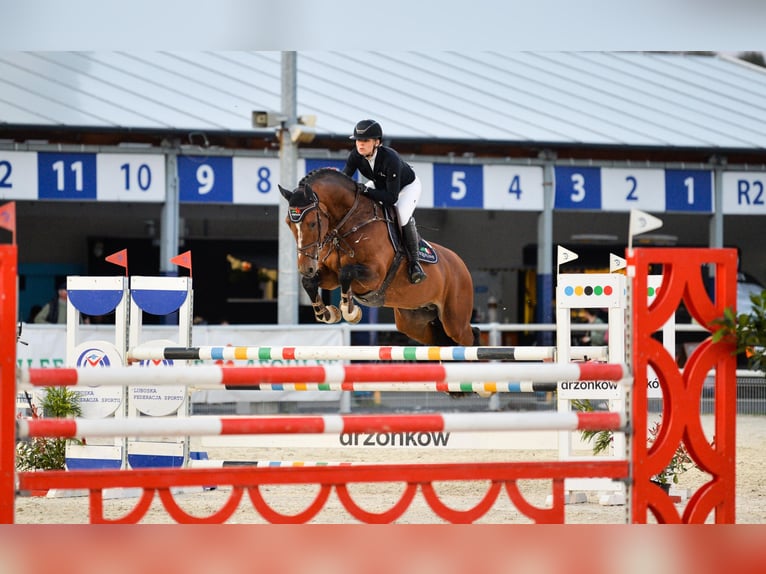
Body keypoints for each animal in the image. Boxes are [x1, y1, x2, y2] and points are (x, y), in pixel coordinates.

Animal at [276, 166, 480, 346]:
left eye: (312, 223)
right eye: (288, 223)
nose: (306, 267)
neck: (349, 225)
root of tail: (461, 265)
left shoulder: (374, 276)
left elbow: (346, 273)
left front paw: (348, 310)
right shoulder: (330, 275)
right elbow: (310, 282)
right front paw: (325, 313)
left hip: (455, 321)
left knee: (470, 336)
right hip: (414, 321)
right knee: (441, 341)